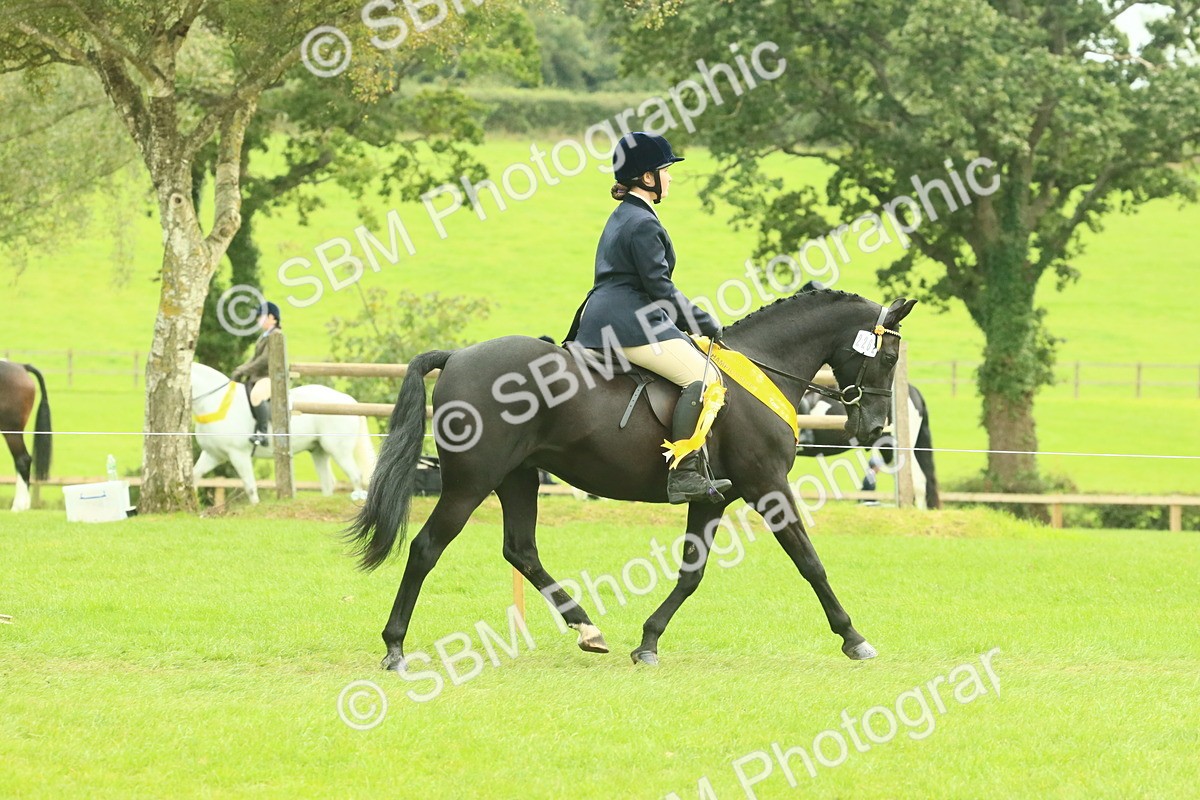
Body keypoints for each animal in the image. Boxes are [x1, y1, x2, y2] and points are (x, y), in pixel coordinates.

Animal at [190, 363, 376, 504]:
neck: (216, 404)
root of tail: (349, 401)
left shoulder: (238, 455)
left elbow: (250, 486)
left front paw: (256, 507)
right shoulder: (213, 454)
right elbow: (194, 476)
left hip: (338, 451)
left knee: (356, 476)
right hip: (319, 451)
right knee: (328, 483)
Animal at [347, 289, 918, 670]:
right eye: (889, 356)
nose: (874, 428)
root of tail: (458, 356)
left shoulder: (713, 499)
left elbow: (691, 573)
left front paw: (648, 641)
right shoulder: (767, 487)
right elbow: (810, 562)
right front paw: (853, 637)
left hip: (517, 477)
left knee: (521, 551)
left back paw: (588, 629)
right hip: (471, 482)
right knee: (426, 547)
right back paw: (395, 647)